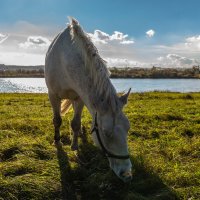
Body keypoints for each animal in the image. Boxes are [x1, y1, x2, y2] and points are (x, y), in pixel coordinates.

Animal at [45, 17, 133, 183]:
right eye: (106, 133)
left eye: (128, 128)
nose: (127, 174)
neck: (65, 60)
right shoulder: (53, 95)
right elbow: (57, 120)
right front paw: (58, 142)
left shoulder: (80, 97)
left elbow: (75, 123)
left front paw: (74, 146)